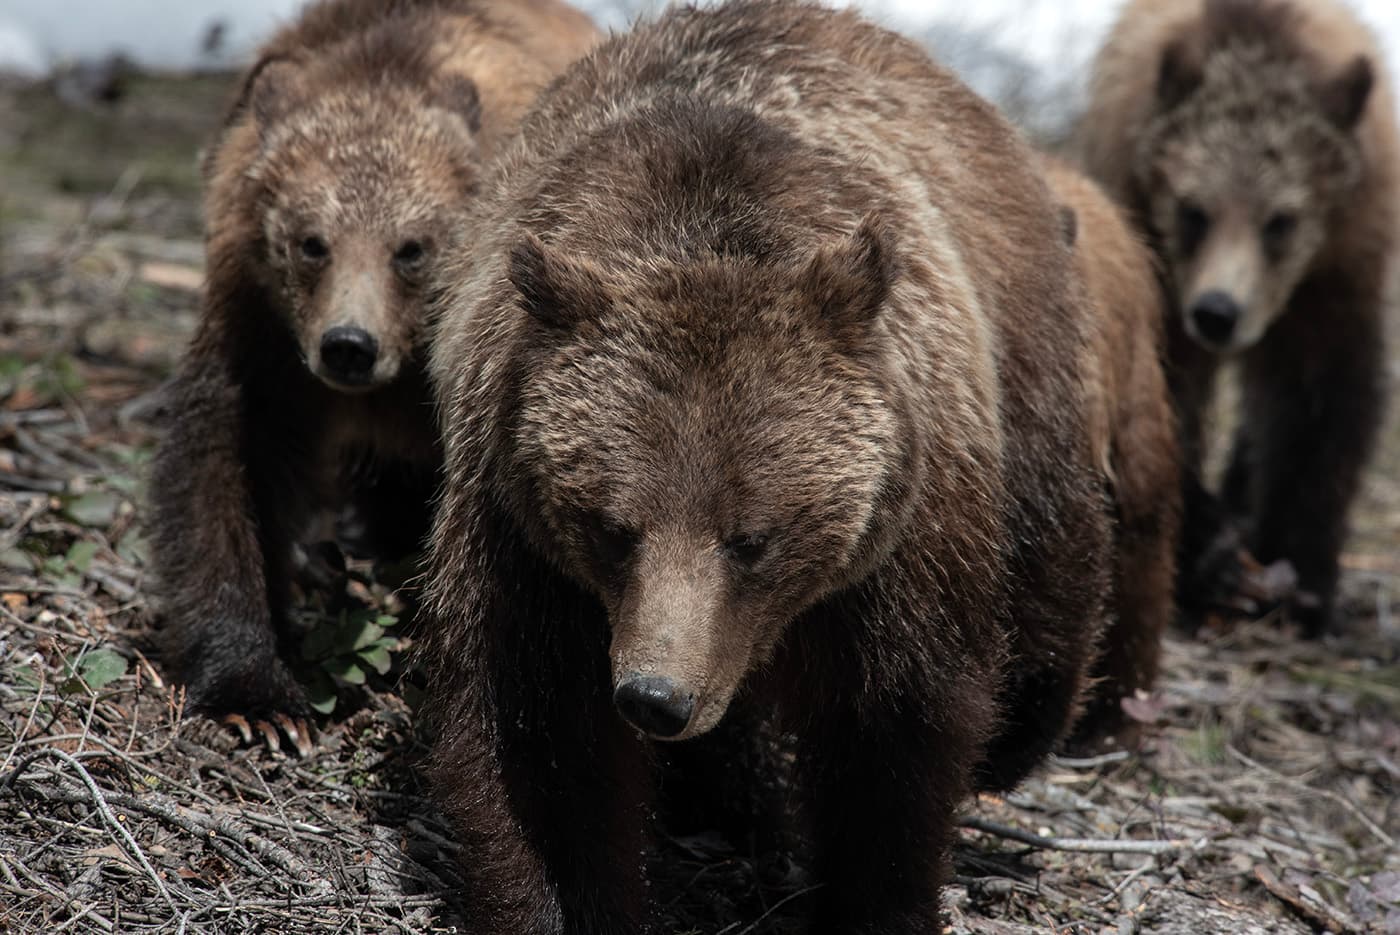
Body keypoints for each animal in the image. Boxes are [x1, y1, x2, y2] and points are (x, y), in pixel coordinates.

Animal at [148, 0, 598, 752]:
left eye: (409, 247)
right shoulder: (263, 335)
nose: (349, 345)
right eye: (311, 241)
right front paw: (258, 698)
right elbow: (228, 468)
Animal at [418, 2, 1117, 931]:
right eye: (613, 528)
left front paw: (872, 896)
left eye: (751, 536)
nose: (655, 696)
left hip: (1022, 340)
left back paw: (1020, 728)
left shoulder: (902, 533)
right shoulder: (521, 529)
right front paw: (562, 897)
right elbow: (542, 735)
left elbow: (890, 726)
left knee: (1050, 539)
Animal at [1074, 0, 1399, 635]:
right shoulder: (1157, 266)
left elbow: (1318, 408)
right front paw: (1215, 561)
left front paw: (1303, 581)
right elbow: (1167, 404)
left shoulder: (1335, 275)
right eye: (1193, 210)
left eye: (1281, 220)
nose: (1218, 312)